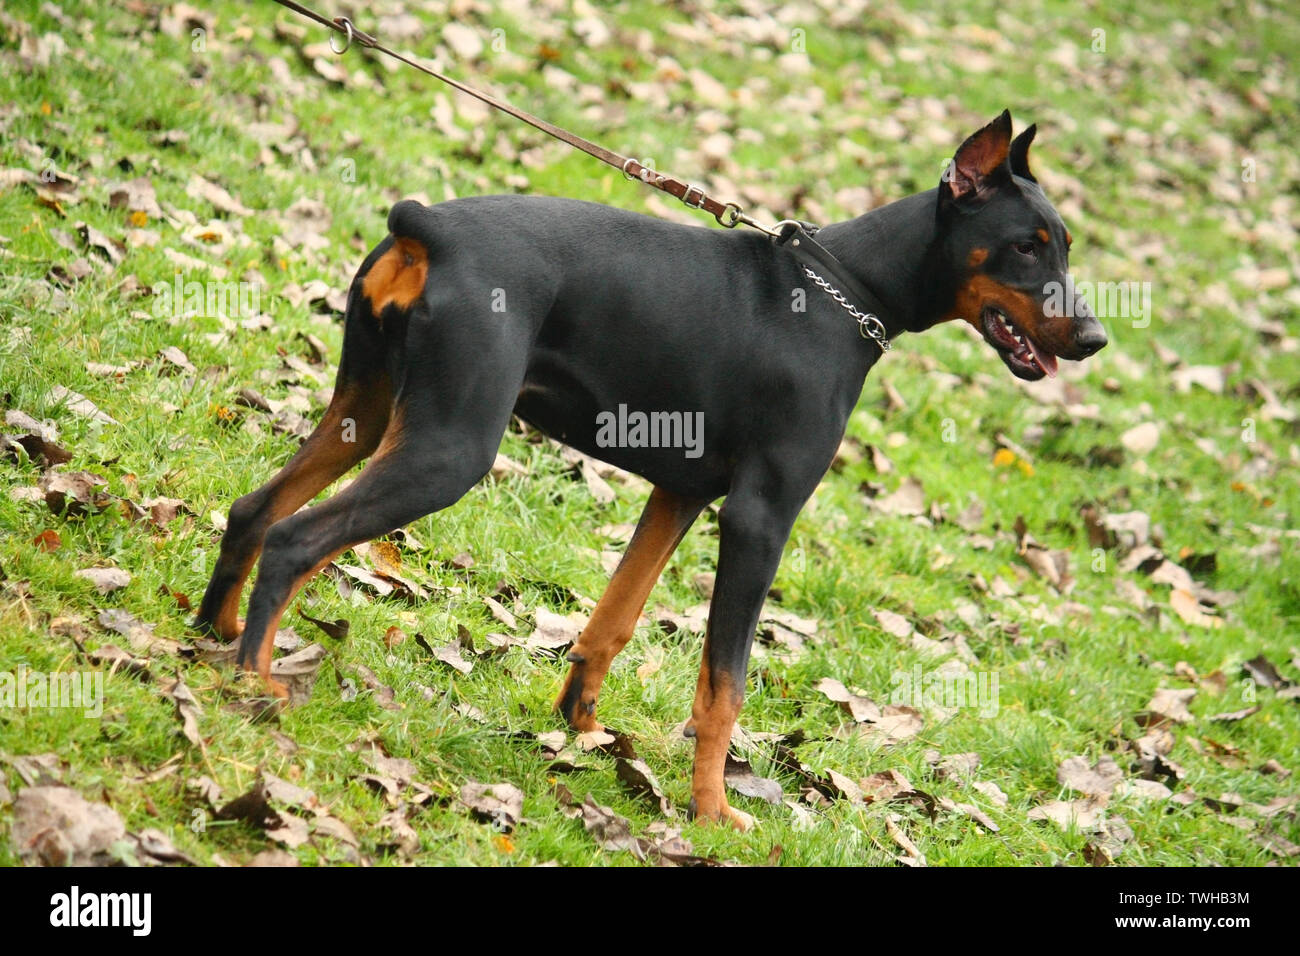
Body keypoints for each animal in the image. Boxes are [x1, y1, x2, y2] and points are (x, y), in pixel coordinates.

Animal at [195, 111, 1107, 832]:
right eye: (1026, 248)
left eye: (1063, 246)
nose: (1095, 337)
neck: (845, 291)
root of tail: (428, 228)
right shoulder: (760, 518)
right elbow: (725, 684)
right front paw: (712, 812)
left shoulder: (682, 494)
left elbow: (614, 620)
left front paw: (581, 731)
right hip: (448, 447)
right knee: (296, 537)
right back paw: (255, 686)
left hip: (367, 412)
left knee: (253, 511)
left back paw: (213, 636)